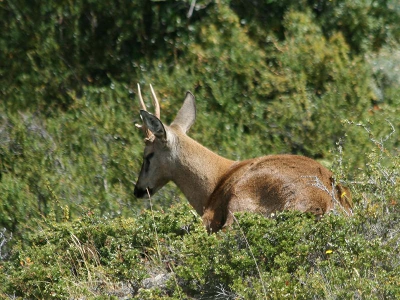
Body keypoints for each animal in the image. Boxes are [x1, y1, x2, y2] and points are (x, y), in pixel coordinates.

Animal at [133, 84, 352, 232]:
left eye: (148, 155)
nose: (138, 190)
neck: (214, 181)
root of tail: (324, 205)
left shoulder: (212, 214)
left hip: (242, 199)